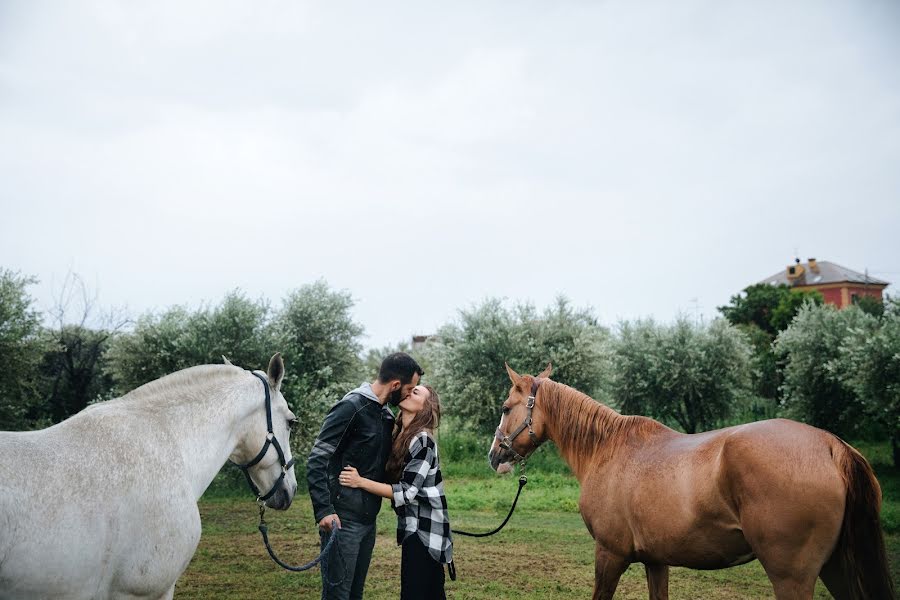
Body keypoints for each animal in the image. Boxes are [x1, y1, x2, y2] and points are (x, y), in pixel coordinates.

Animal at [488, 364, 896, 596]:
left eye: (506, 408)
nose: (494, 455)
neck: (608, 448)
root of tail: (832, 446)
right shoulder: (656, 562)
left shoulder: (609, 555)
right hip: (837, 568)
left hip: (792, 578)